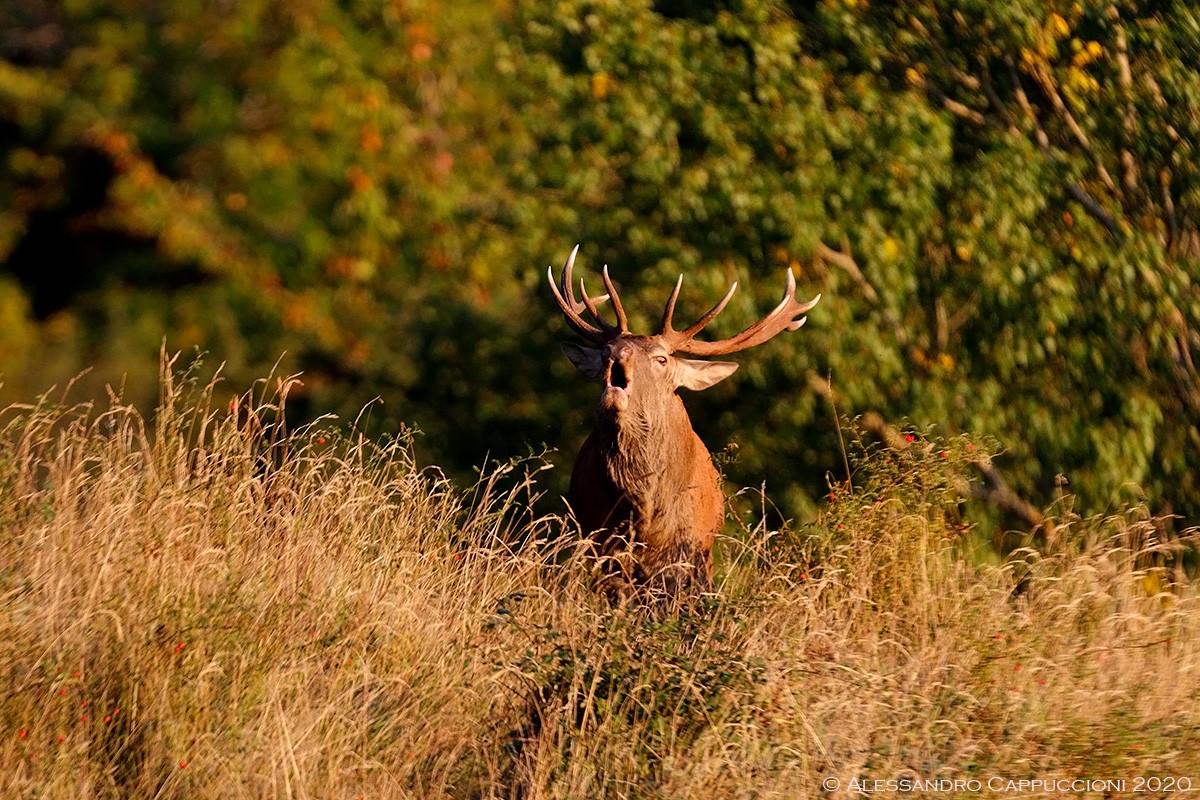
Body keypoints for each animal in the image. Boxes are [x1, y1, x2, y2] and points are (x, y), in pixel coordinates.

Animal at [548, 245, 820, 596]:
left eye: (661, 359)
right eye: (608, 348)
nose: (616, 354)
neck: (645, 512)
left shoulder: (689, 546)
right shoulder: (603, 541)